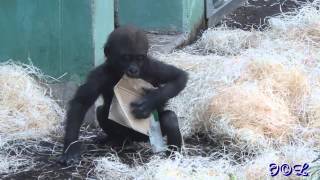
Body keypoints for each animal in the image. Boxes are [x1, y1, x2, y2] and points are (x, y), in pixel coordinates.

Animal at [60, 25, 188, 166]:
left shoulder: (152, 67)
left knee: (170, 119)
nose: (133, 69)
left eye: (139, 58)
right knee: (101, 111)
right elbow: (81, 103)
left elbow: (179, 77)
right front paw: (71, 147)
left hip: (148, 135)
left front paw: (148, 102)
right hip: (127, 136)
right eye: (126, 58)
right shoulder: (98, 75)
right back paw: (114, 140)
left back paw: (173, 158)